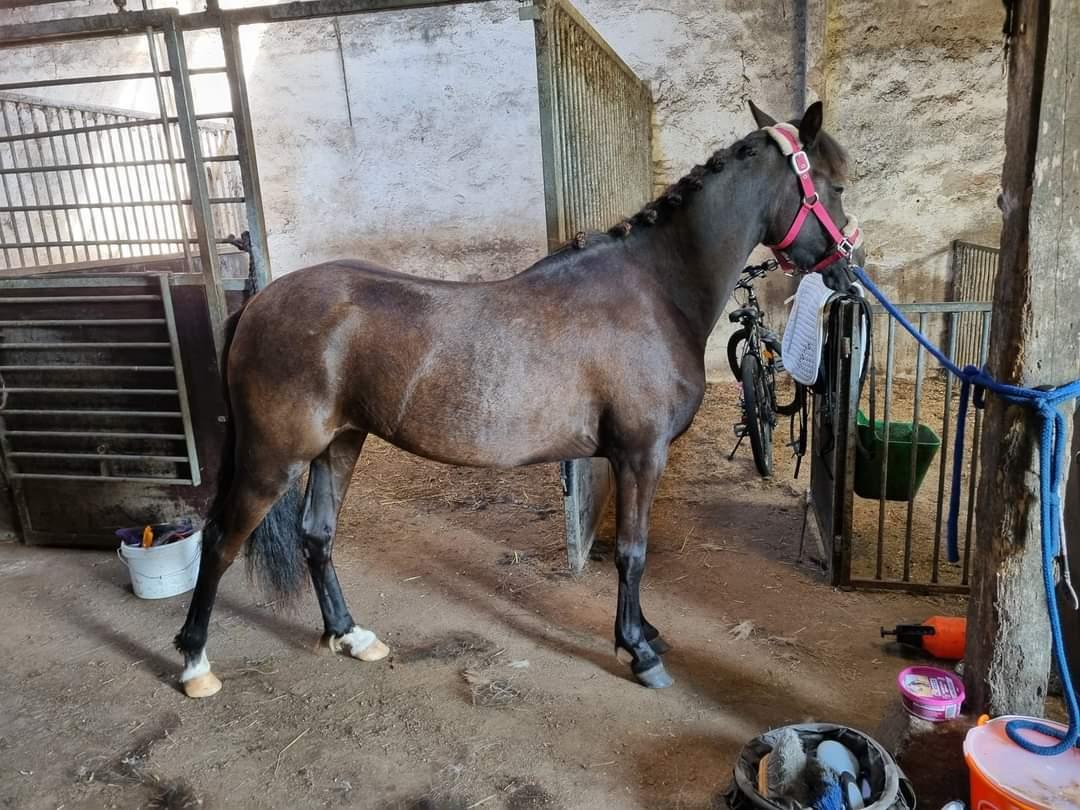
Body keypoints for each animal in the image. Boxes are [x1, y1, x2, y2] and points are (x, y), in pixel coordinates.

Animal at [175, 99, 863, 698]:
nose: (846, 270)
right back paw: (195, 664)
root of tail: (257, 304)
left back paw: (350, 635)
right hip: (274, 455)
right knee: (221, 540)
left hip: (339, 444)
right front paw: (638, 649)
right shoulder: (640, 455)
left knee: (317, 535)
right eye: (834, 185)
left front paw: (645, 633)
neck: (656, 290)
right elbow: (633, 553)